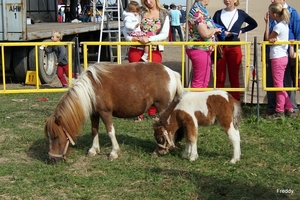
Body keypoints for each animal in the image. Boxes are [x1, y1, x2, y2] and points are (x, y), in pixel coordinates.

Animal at [44, 62, 184, 164]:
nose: (52, 159)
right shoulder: (94, 114)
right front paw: (93, 149)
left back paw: (160, 150)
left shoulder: (105, 112)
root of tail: (172, 73)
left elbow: (110, 132)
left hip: (163, 110)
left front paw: (114, 152)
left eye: (56, 137)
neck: (91, 88)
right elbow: (94, 131)